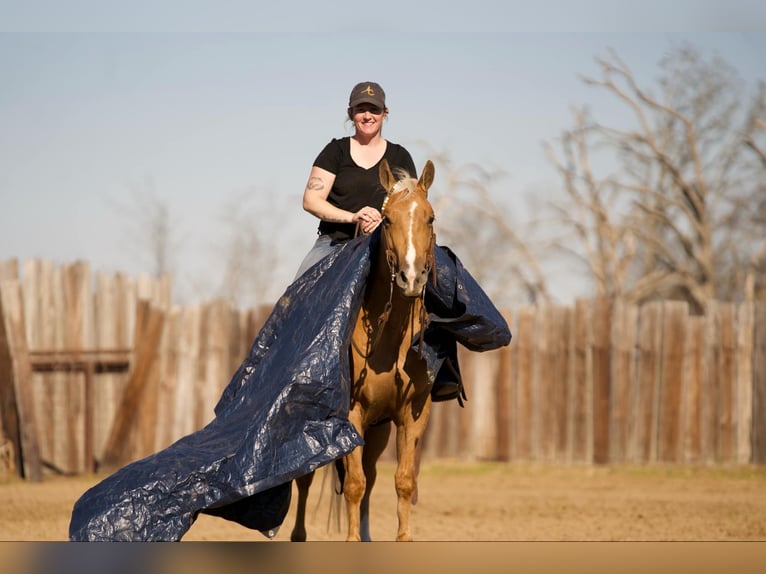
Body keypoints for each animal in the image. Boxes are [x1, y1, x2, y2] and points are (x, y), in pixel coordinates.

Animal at [292, 159, 438, 544]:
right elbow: (354, 484)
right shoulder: (351, 413)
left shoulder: (413, 414)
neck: (389, 341)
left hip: (378, 431)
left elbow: (402, 481)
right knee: (306, 478)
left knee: (371, 475)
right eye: (386, 220)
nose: (411, 278)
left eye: (430, 218)